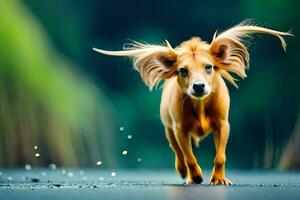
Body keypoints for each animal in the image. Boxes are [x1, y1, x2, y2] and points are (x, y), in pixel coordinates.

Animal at [92, 21, 292, 185]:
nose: (198, 86)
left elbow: (220, 156)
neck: (200, 105)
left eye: (209, 67)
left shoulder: (223, 124)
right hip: (168, 128)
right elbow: (188, 157)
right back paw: (183, 172)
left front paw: (218, 179)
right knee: (178, 152)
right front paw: (195, 177)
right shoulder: (180, 129)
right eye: (182, 70)